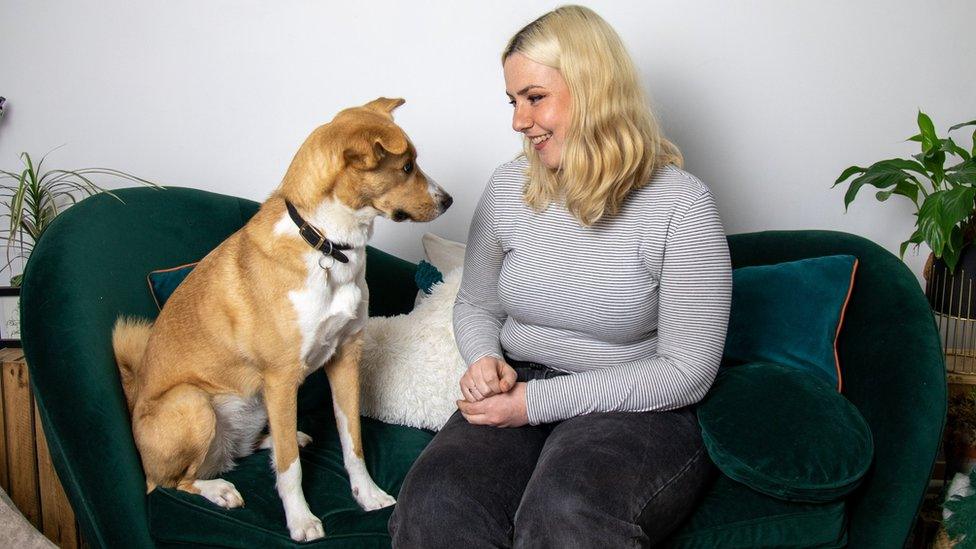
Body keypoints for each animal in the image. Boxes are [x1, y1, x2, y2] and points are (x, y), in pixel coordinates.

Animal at [111, 97, 454, 540]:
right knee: (172, 481)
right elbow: (291, 472)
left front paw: (367, 495)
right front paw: (301, 521)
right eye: (407, 166)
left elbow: (353, 442)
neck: (327, 245)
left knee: (247, 448)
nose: (448, 200)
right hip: (193, 404)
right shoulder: (281, 377)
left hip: (255, 403)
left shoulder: (345, 358)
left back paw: (279, 439)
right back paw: (219, 488)